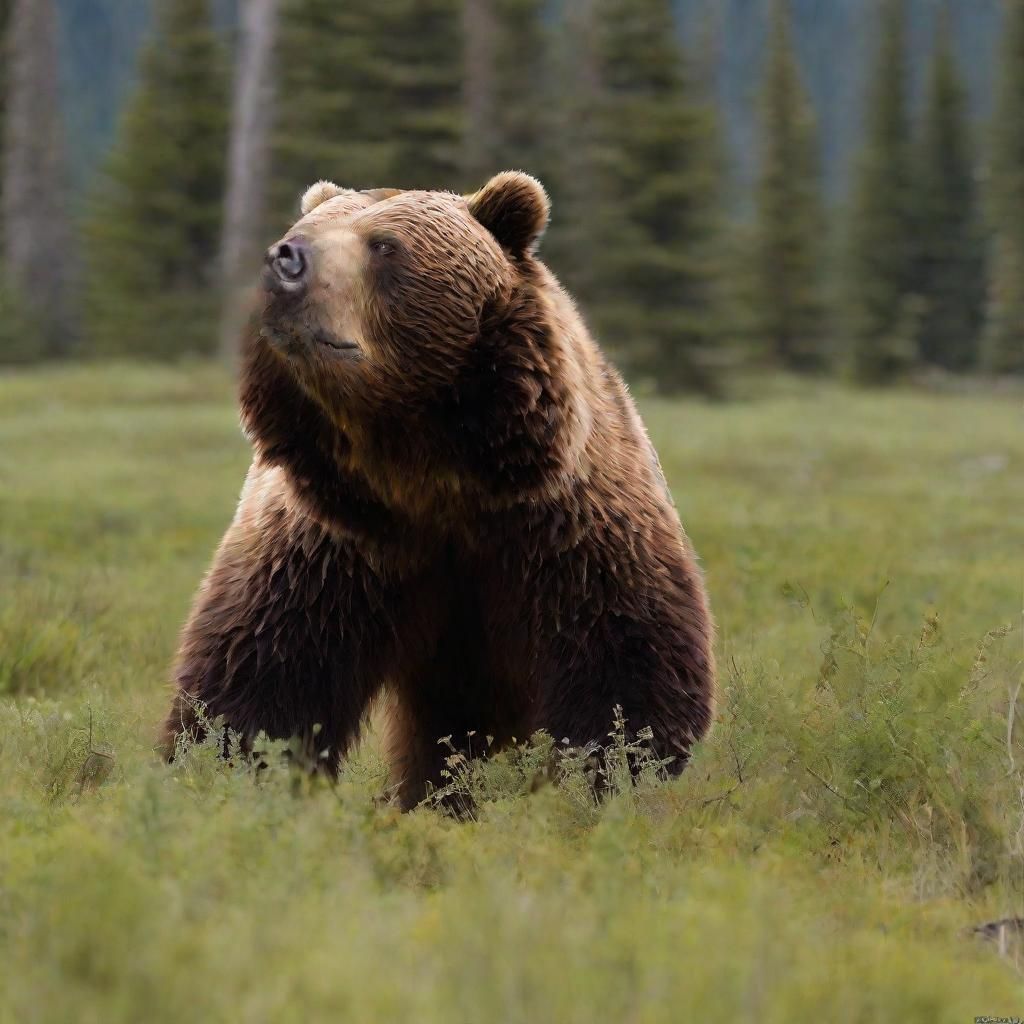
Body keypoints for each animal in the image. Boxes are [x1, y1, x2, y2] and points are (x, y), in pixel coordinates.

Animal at [161, 171, 715, 809]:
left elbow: (625, 674)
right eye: (300, 229)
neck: (423, 470)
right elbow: (262, 672)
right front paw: (226, 774)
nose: (285, 260)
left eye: (383, 245)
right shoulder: (330, 544)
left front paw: (603, 782)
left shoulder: (569, 532)